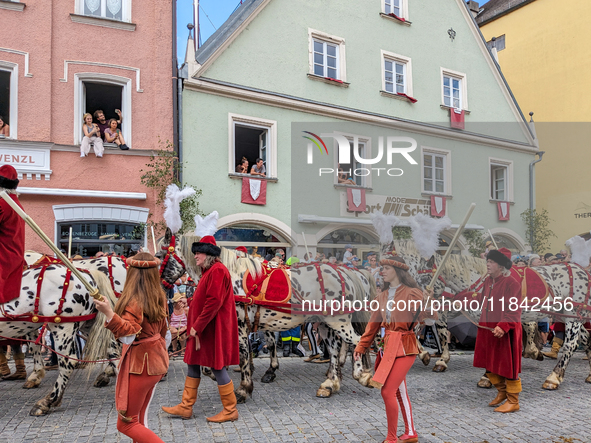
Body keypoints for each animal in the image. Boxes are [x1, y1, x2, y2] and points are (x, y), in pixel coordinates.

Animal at [158, 234, 374, 404]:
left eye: (160, 255)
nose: (160, 286)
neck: (231, 276)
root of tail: (345, 273)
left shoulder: (240, 326)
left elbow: (244, 354)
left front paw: (244, 388)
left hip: (339, 322)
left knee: (356, 342)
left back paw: (360, 374)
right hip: (325, 323)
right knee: (336, 349)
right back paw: (331, 383)